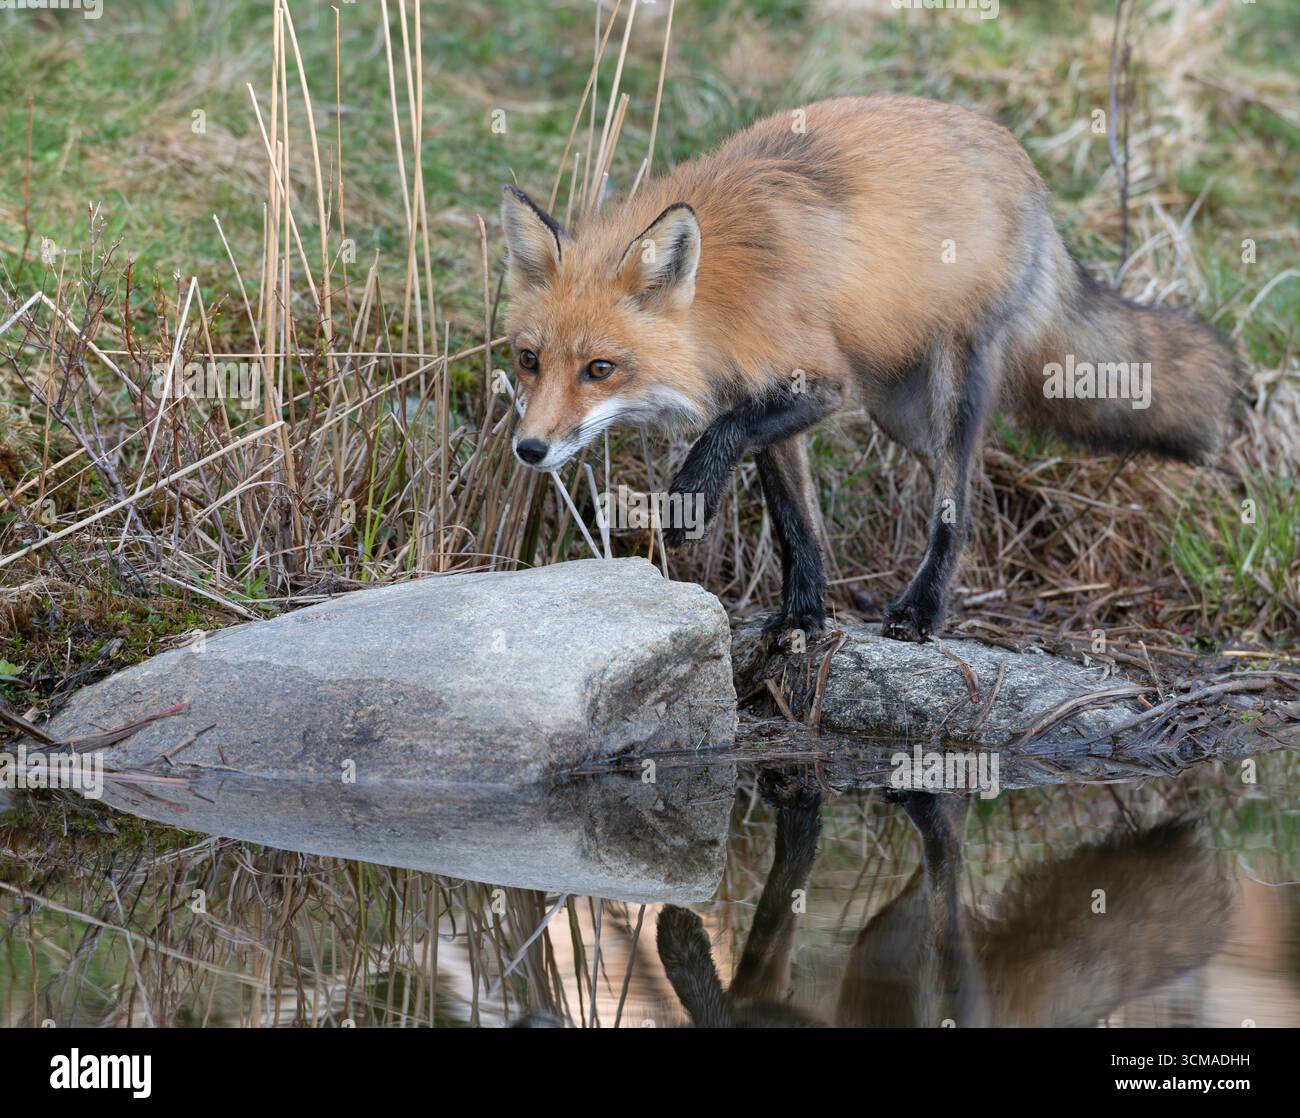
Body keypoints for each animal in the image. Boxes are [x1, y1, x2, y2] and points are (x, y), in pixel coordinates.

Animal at [500, 96, 1237, 640]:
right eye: (529, 360)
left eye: (600, 368)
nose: (529, 449)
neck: (726, 295)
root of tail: (1018, 156)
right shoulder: (766, 399)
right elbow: (796, 522)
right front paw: (802, 615)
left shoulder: (821, 384)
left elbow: (722, 438)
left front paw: (690, 500)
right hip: (899, 414)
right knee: (956, 481)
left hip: (952, 383)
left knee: (957, 500)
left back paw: (924, 609)